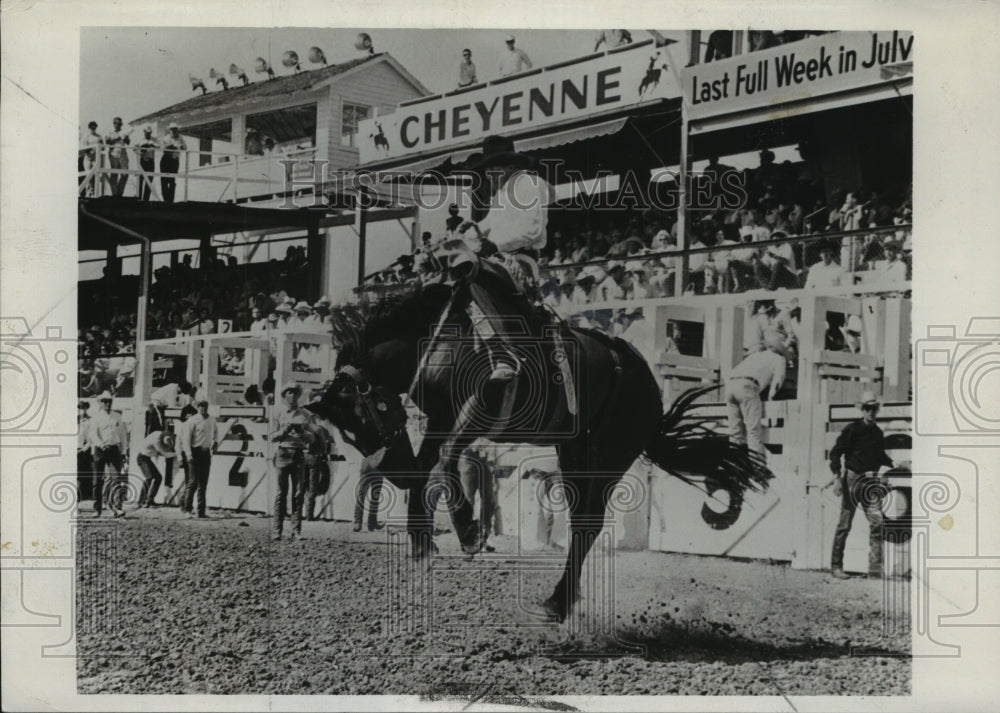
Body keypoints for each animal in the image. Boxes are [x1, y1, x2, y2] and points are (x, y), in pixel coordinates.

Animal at [306, 264, 772, 620]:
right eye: (349, 433)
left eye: (368, 415)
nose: (391, 470)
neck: (443, 335)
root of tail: (647, 386)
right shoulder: (441, 418)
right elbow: (428, 472)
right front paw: (424, 545)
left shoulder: (484, 401)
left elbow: (444, 464)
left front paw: (469, 532)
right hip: (575, 451)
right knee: (582, 521)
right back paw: (561, 600)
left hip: (608, 454)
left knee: (588, 524)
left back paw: (558, 602)